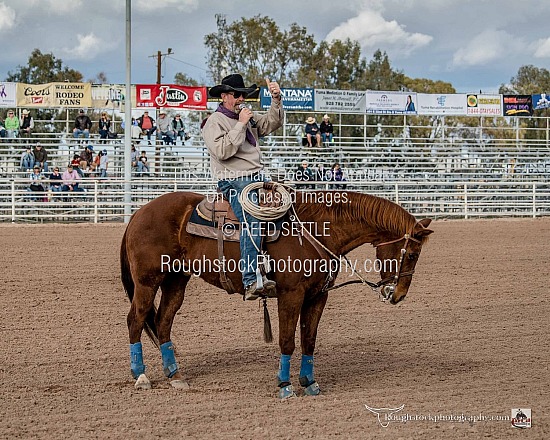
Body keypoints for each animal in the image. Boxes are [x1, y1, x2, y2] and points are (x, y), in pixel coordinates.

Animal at [121, 191, 436, 398]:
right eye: (412, 254)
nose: (398, 295)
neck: (315, 232)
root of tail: (139, 212)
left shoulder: (317, 296)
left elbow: (309, 340)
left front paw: (309, 382)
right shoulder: (291, 295)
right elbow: (287, 341)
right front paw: (285, 386)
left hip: (176, 281)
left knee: (163, 322)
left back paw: (175, 376)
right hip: (148, 282)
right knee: (136, 319)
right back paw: (141, 376)